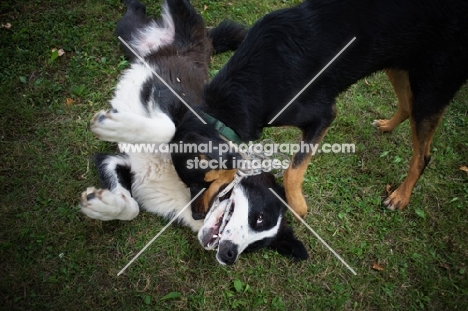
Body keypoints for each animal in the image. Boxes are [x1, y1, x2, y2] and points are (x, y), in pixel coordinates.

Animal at [80, 0, 308, 266]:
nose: (229, 255)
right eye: (259, 217)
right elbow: (168, 128)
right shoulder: (174, 100)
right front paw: (115, 127)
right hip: (159, 24)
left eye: (255, 246)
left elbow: (132, 207)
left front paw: (100, 204)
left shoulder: (114, 160)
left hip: (129, 35)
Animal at [185, 0, 466, 218]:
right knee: (407, 106)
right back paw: (386, 126)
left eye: (203, 182)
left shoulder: (322, 116)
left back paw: (400, 196)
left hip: (431, 90)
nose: (196, 215)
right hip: (396, 64)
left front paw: (298, 207)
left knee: (422, 155)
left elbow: (292, 171)